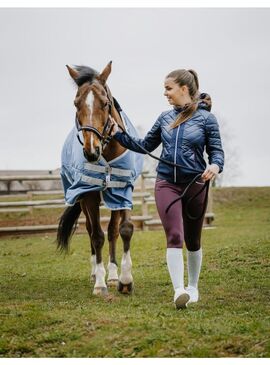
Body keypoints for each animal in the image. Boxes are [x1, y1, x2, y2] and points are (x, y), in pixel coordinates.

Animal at [56, 61, 139, 296]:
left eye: (105, 103)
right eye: (76, 104)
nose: (91, 150)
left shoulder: (122, 189)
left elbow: (123, 230)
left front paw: (124, 279)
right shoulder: (89, 195)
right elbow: (96, 236)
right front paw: (100, 283)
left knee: (112, 232)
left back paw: (113, 275)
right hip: (83, 201)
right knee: (91, 231)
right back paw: (96, 273)